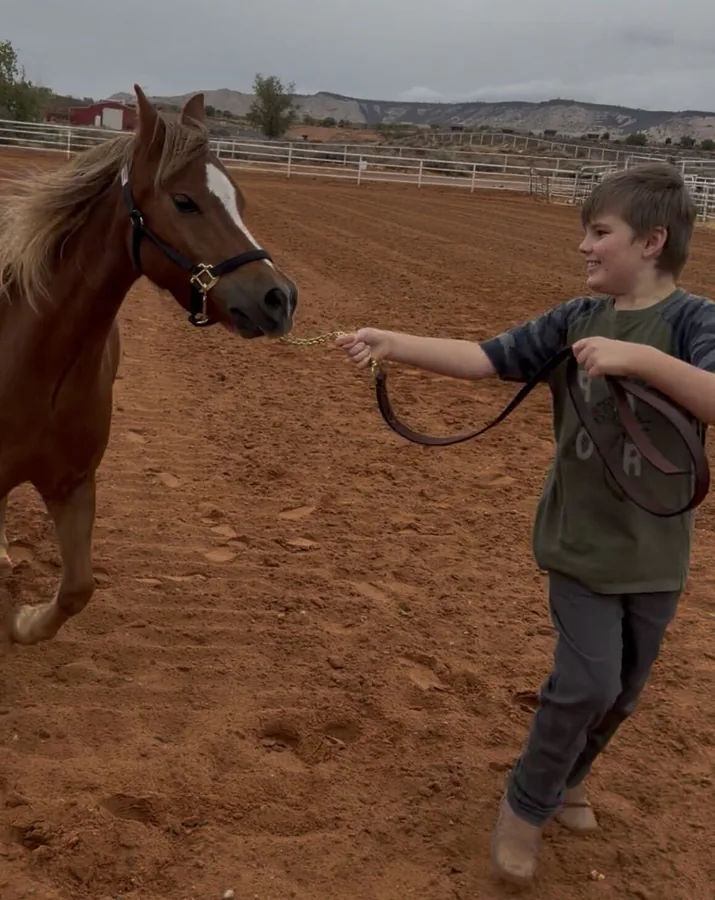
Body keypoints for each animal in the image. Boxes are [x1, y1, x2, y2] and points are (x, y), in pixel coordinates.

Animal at [0, 84, 297, 646]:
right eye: (184, 200)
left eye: (240, 201)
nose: (280, 299)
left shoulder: (73, 483)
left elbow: (78, 589)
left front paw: (23, 622)